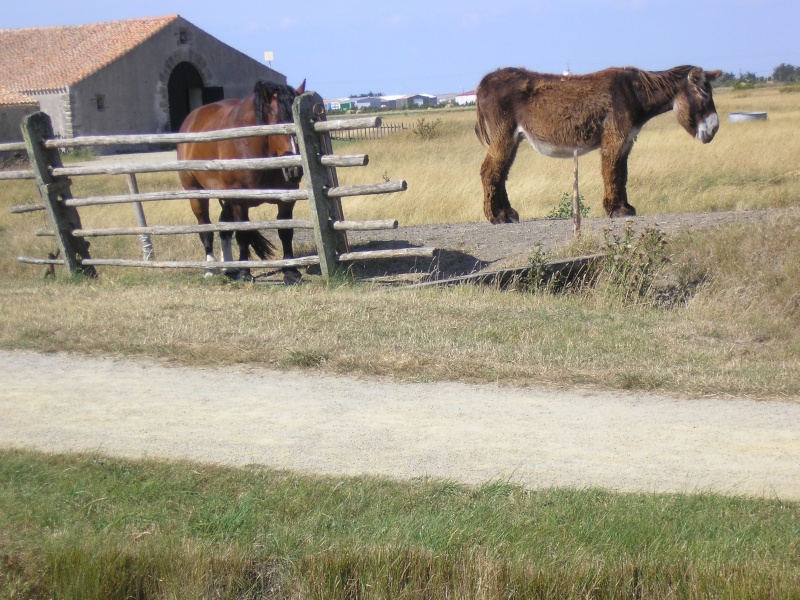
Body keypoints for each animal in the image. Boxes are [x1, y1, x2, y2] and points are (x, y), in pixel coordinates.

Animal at [178, 78, 306, 282]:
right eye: (276, 123)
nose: (293, 169)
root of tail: (192, 118)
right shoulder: (239, 201)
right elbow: (243, 234)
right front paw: (246, 273)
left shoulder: (286, 199)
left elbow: (285, 231)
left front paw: (290, 271)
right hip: (196, 194)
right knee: (205, 227)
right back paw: (210, 268)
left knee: (224, 228)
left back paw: (230, 267)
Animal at [476, 64, 724, 223]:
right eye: (704, 94)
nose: (714, 129)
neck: (634, 92)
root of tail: (486, 80)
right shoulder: (615, 138)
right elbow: (612, 172)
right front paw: (615, 210)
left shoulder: (626, 141)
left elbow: (622, 174)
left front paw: (625, 207)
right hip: (503, 135)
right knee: (490, 170)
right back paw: (496, 216)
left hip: (512, 138)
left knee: (500, 172)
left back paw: (507, 213)